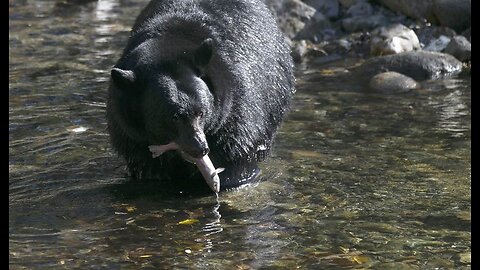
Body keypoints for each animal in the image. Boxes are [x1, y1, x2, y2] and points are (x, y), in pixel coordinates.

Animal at [108, 0, 296, 194]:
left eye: (201, 113)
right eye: (173, 117)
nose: (200, 148)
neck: (168, 42)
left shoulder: (237, 106)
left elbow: (237, 149)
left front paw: (229, 177)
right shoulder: (130, 131)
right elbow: (145, 163)